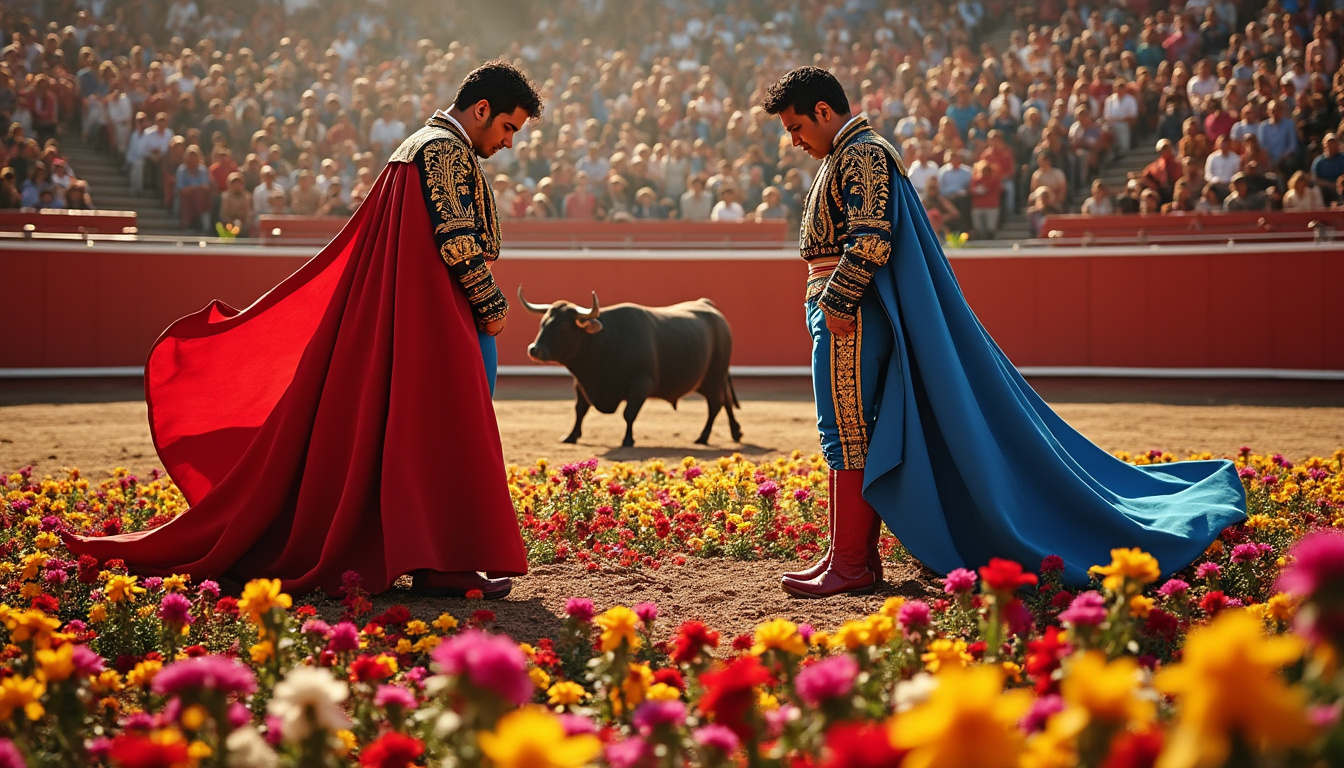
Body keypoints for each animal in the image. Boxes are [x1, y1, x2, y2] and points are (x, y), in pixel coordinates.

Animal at [516, 286, 747, 443]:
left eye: (563, 325)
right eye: (543, 322)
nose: (534, 349)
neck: (602, 344)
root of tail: (708, 306)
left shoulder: (641, 383)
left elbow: (629, 413)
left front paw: (628, 440)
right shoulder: (581, 384)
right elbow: (580, 409)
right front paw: (571, 436)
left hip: (716, 375)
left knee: (715, 405)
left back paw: (703, 437)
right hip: (713, 380)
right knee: (726, 400)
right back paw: (736, 432)